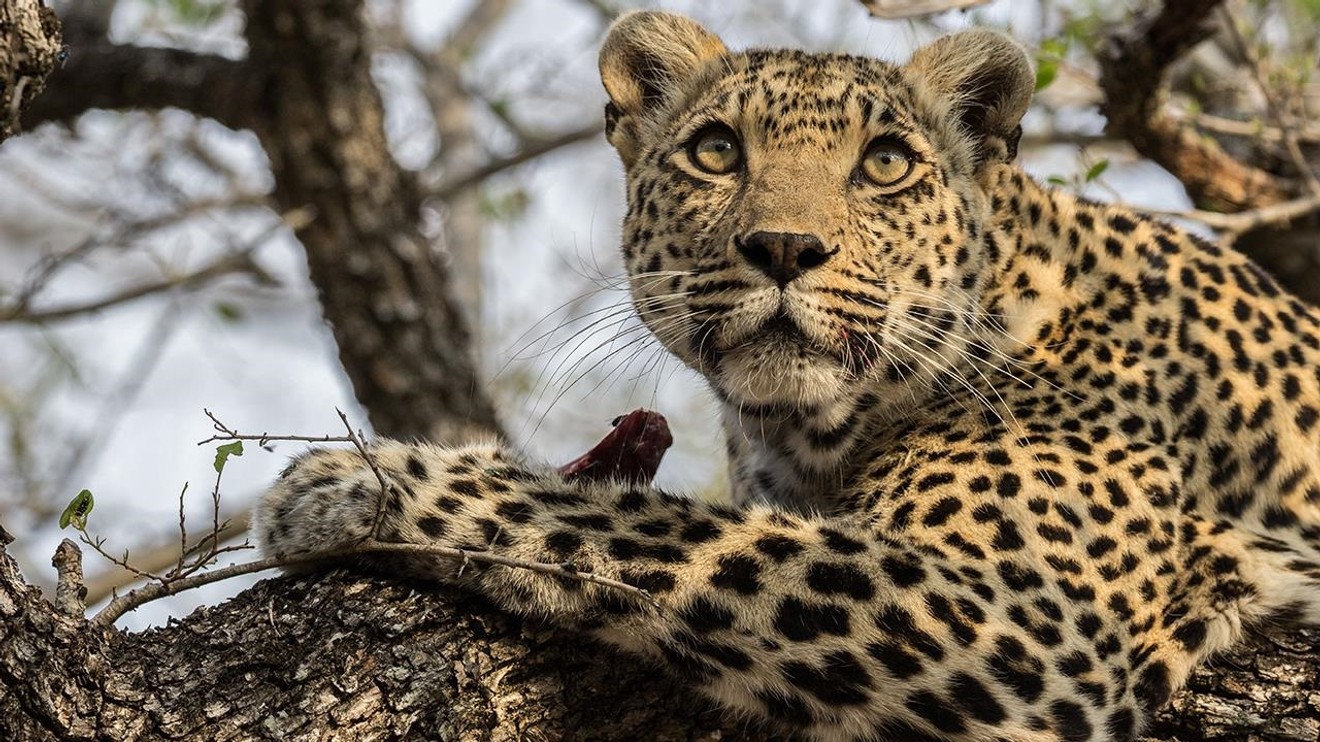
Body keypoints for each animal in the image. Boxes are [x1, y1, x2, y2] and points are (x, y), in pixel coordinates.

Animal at [256, 11, 1320, 742]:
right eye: (716, 150)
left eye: (885, 162)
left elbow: (653, 532)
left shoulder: (1026, 614)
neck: (810, 429)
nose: (783, 248)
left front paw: (352, 485)